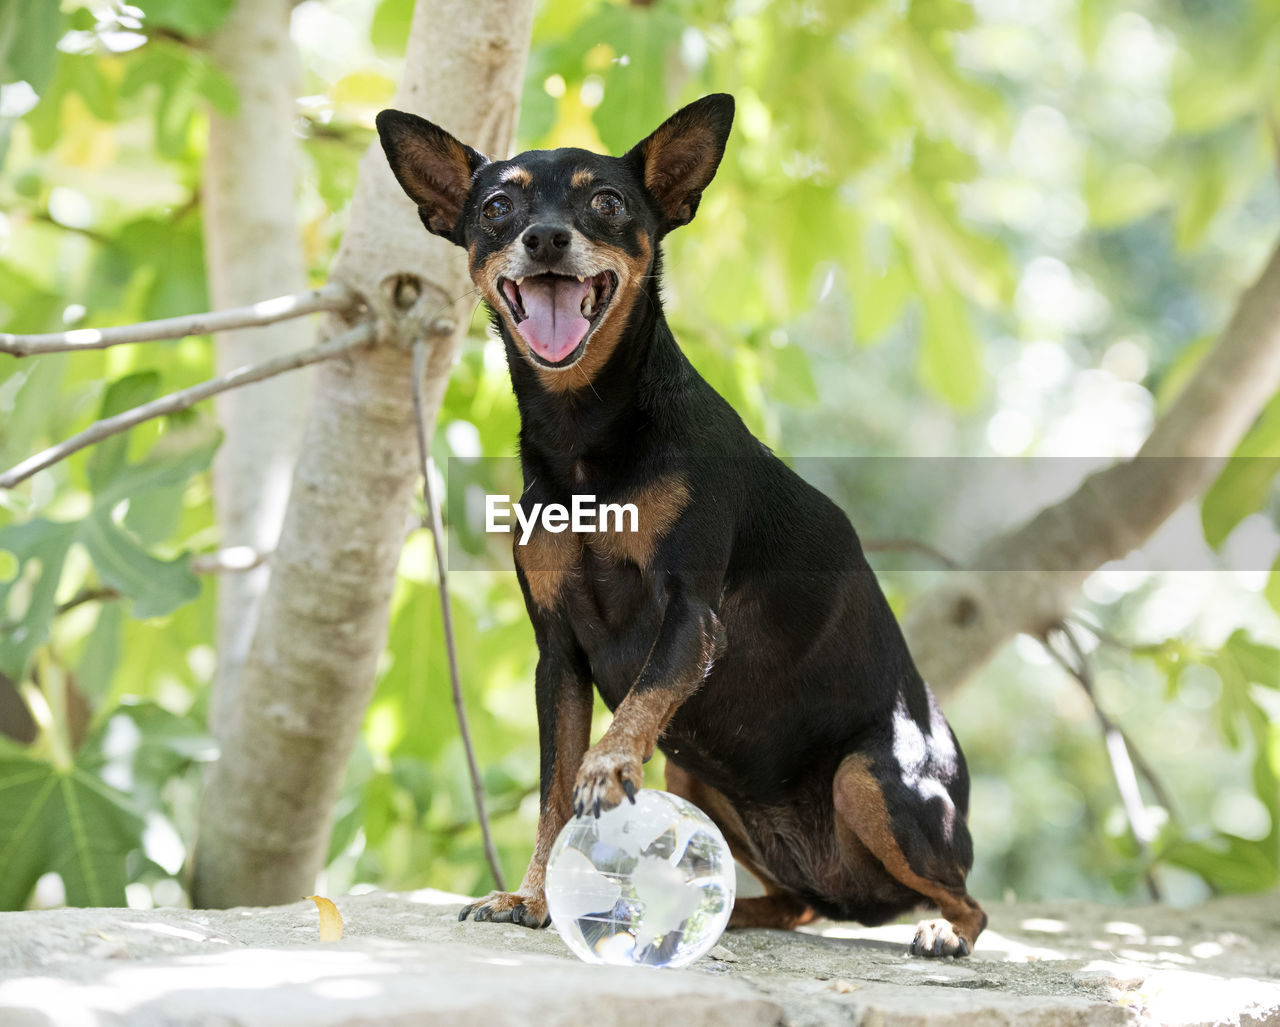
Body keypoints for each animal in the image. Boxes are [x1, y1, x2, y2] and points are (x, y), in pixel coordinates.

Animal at [373, 92, 983, 957]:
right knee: (798, 901)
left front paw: (603, 770)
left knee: (965, 898)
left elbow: (623, 722)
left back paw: (938, 927)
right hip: (696, 772)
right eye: (495, 209)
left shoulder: (691, 617)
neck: (584, 439)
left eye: (607, 202)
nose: (545, 237)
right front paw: (531, 895)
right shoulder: (558, 650)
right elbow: (552, 790)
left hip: (871, 777)